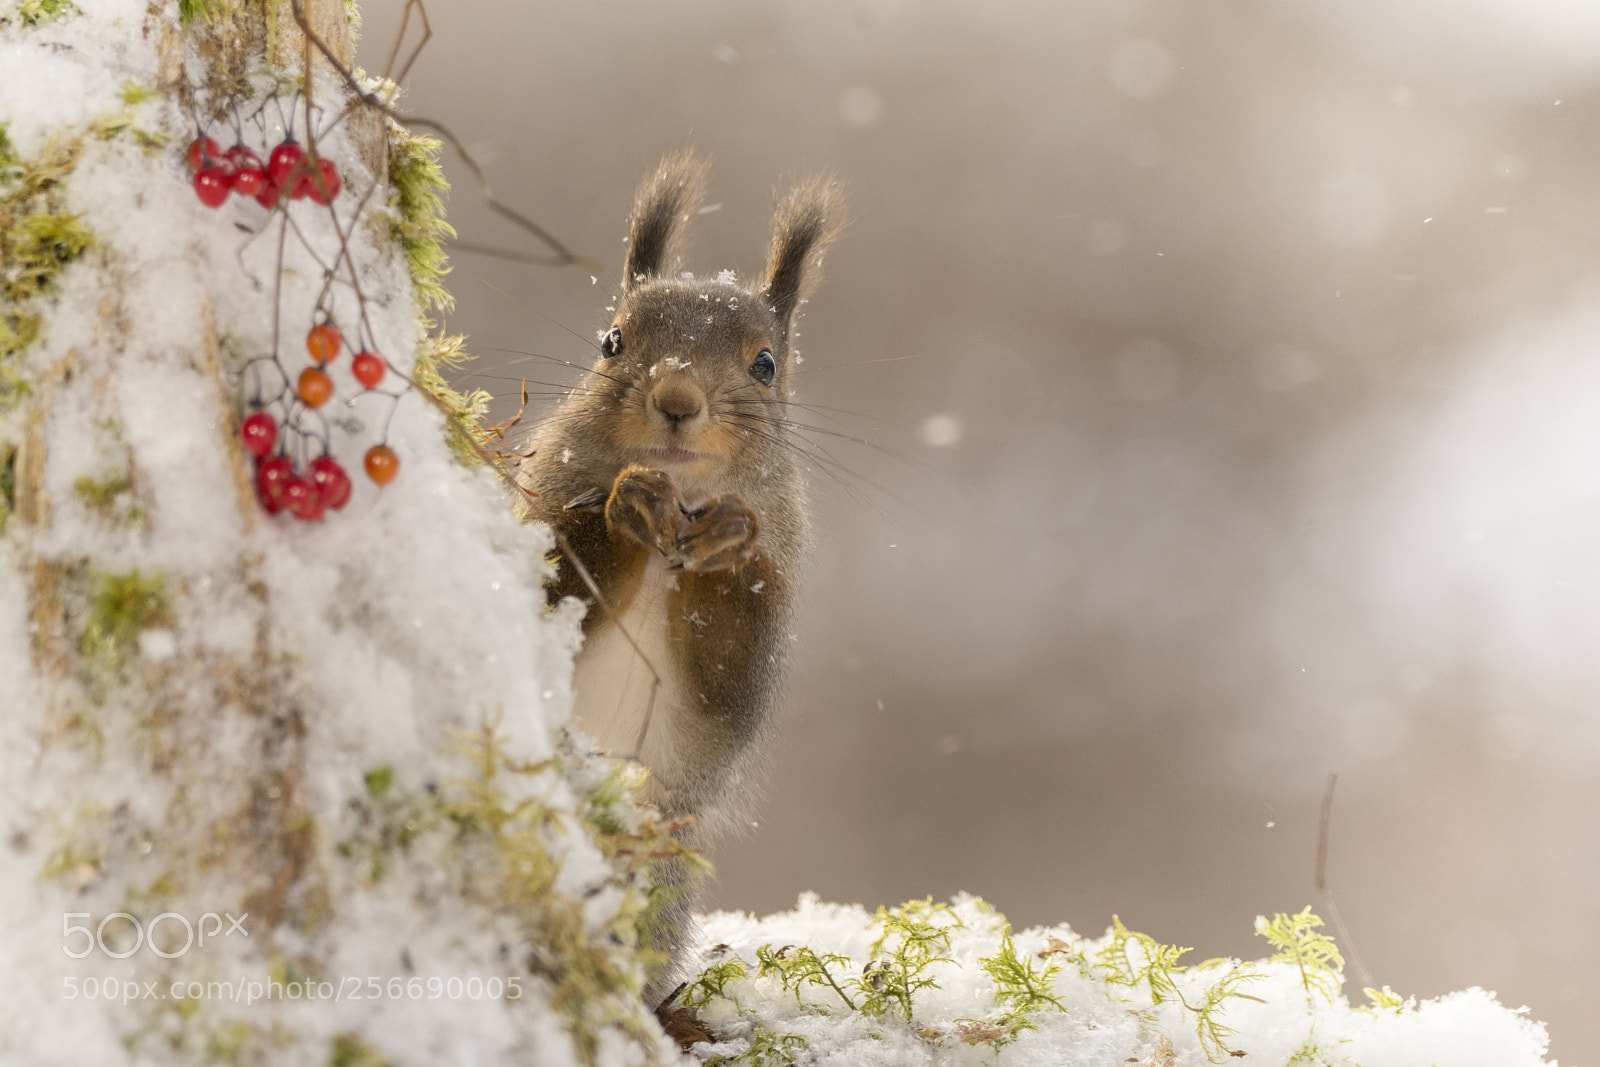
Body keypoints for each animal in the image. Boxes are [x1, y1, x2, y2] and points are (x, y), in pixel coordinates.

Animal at [515, 151, 844, 1003]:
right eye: (611, 340)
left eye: (765, 364)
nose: (676, 398)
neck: (675, 535)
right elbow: (548, 593)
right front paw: (628, 501)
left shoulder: (755, 642)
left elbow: (726, 682)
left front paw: (731, 537)